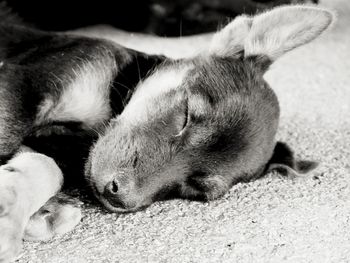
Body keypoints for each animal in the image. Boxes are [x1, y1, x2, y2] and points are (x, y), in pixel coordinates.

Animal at [0, 4, 334, 263]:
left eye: (196, 190)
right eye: (186, 115)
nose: (117, 198)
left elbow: (46, 166)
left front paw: (33, 210)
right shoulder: (23, 83)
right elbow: (16, 139)